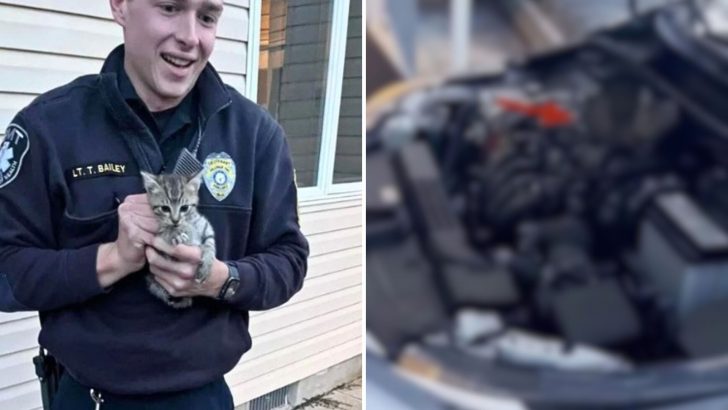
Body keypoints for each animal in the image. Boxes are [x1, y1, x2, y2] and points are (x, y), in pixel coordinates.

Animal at [141, 170, 216, 308]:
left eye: (184, 208)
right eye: (165, 208)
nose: (175, 221)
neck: (189, 221)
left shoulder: (206, 228)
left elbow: (209, 243)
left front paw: (207, 263)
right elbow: (165, 231)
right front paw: (175, 232)